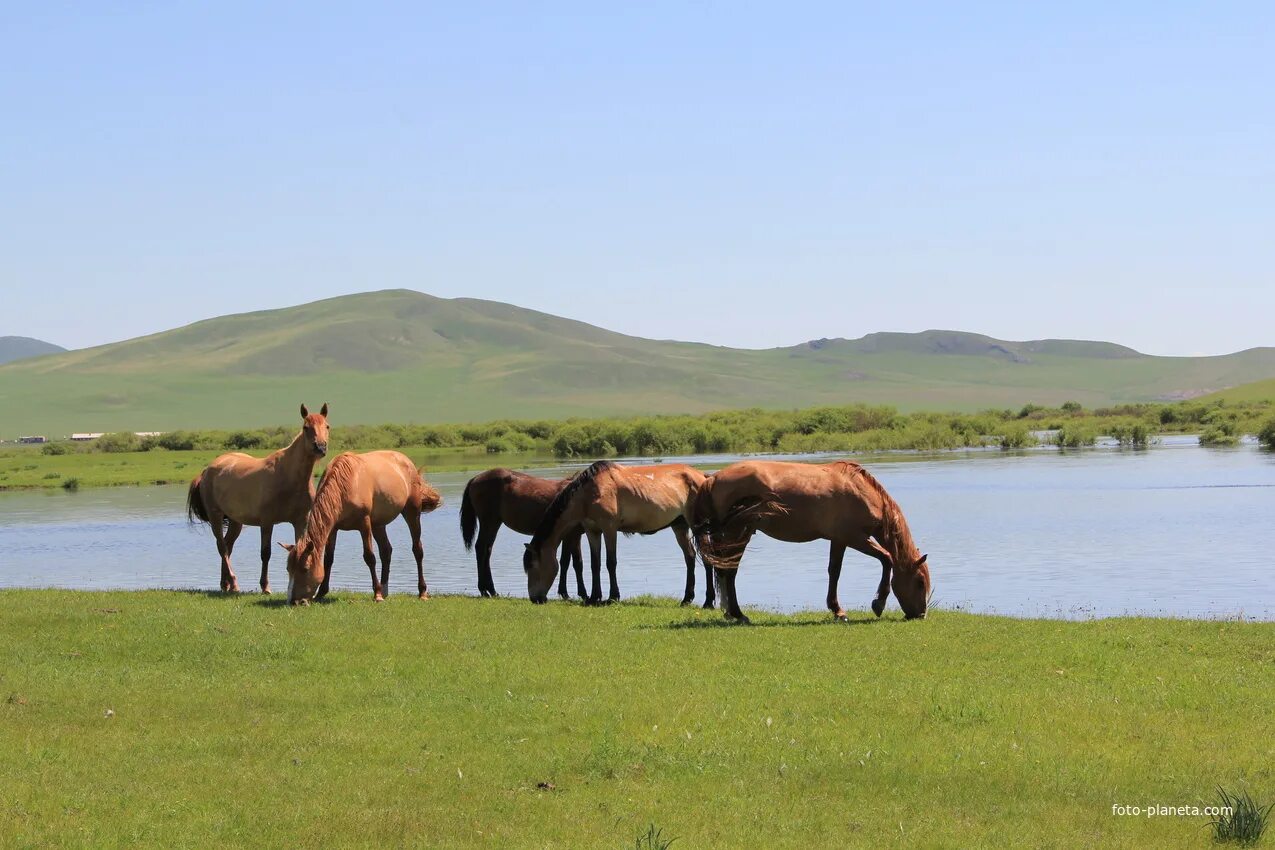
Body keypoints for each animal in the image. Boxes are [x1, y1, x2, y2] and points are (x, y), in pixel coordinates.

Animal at [187, 405, 331, 591]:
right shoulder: (267, 522)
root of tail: (206, 470)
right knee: (222, 547)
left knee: (228, 545)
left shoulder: (301, 521)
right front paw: (265, 587)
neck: (288, 476)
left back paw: (225, 584)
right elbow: (265, 553)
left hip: (236, 521)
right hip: (215, 516)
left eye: (327, 426)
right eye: (306, 427)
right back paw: (233, 582)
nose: (320, 447)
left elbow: (300, 548)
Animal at [281, 451, 441, 604]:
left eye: (305, 569)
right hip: (378, 524)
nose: (294, 601)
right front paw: (321, 593)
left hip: (412, 512)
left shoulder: (364, 524)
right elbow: (328, 559)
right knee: (386, 551)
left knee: (417, 550)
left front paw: (377, 595)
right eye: (288, 569)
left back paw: (421, 592)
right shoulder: (333, 528)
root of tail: (407, 462)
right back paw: (385, 589)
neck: (345, 484)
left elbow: (369, 557)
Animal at [461, 468, 589, 601]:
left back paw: (492, 591)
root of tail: (475, 478)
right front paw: (582, 594)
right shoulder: (573, 535)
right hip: (488, 522)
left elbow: (565, 562)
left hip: (494, 523)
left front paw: (565, 593)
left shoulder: (568, 535)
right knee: (481, 549)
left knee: (487, 550)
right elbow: (577, 563)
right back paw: (484, 590)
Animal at [522, 461, 714, 609]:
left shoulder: (609, 529)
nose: (534, 598)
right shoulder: (592, 531)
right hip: (680, 526)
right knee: (690, 557)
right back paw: (686, 599)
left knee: (706, 559)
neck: (589, 493)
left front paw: (613, 596)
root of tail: (703, 477)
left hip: (696, 525)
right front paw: (594, 597)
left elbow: (610, 562)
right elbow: (595, 564)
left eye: (532, 566)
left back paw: (708, 602)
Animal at [693, 458, 933, 624]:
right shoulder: (855, 537)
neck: (861, 490)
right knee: (729, 572)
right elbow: (887, 558)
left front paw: (837, 610)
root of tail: (713, 479)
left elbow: (834, 571)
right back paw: (738, 614)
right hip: (738, 534)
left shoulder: (839, 540)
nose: (921, 614)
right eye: (920, 582)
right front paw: (878, 603)